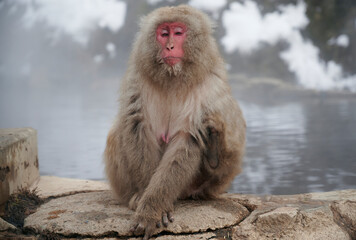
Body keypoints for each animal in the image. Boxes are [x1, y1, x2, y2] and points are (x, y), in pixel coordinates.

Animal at [104, 4, 246, 239]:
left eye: (178, 33)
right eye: (164, 33)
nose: (170, 46)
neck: (173, 78)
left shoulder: (210, 87)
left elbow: (188, 140)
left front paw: (152, 207)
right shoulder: (137, 79)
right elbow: (137, 126)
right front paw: (145, 199)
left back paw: (214, 152)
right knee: (117, 132)